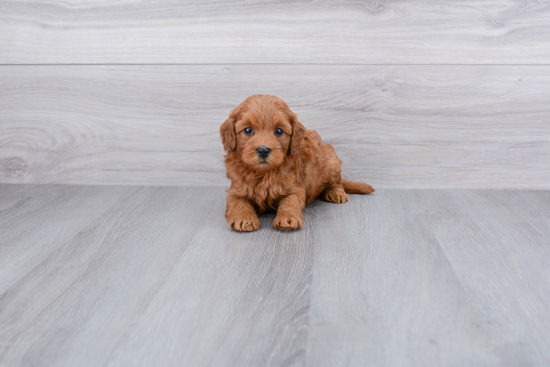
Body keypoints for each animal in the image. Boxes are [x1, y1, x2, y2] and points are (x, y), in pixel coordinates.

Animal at [221, 95, 376, 233]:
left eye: (278, 131)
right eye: (248, 130)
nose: (263, 150)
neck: (264, 173)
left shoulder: (296, 188)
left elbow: (290, 202)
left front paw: (288, 218)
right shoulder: (235, 191)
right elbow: (238, 203)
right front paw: (244, 219)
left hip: (332, 160)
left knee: (336, 183)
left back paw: (336, 193)